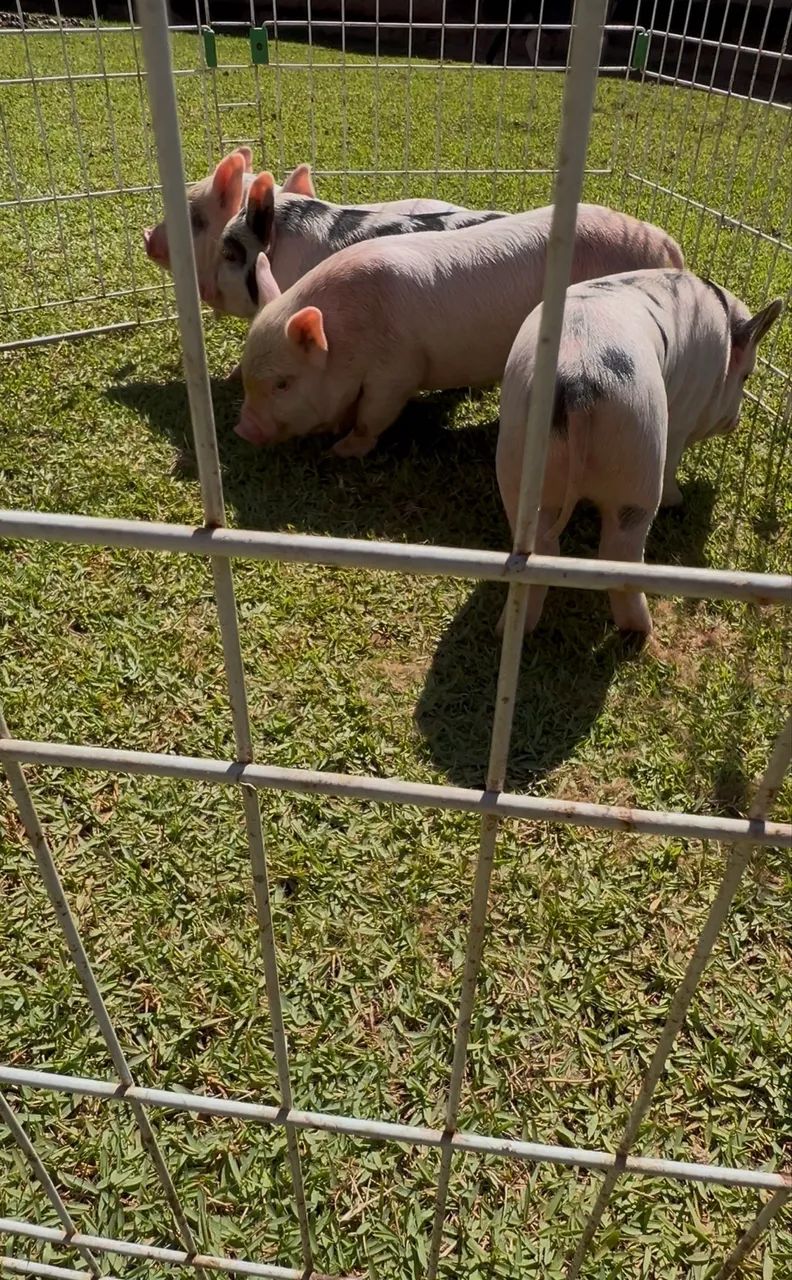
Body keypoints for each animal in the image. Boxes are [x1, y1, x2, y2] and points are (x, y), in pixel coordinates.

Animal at [235, 203, 685, 459]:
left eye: (283, 384)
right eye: (248, 381)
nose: (244, 430)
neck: (349, 334)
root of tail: (665, 243)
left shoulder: (398, 368)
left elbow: (373, 414)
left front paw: (338, 452)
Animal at [496, 268, 784, 635]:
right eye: (746, 376)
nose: (735, 422)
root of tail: (577, 382)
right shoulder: (682, 414)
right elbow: (674, 457)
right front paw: (679, 500)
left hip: (517, 454)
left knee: (539, 547)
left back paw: (510, 627)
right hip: (639, 445)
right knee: (621, 551)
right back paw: (641, 631)